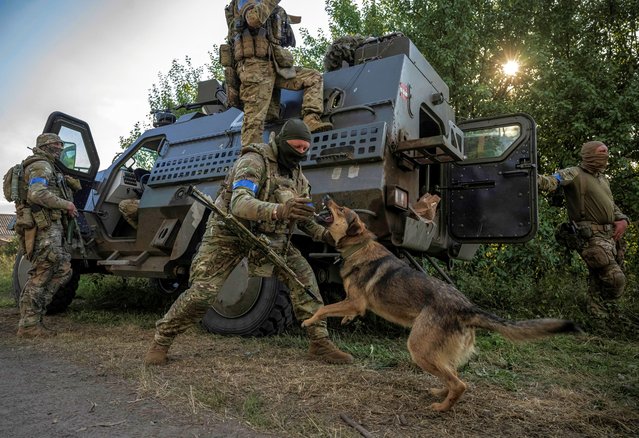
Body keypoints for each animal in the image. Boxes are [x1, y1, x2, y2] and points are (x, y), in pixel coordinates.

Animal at [302, 197, 584, 412]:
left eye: (340, 209)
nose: (326, 198)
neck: (357, 247)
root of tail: (468, 308)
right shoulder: (354, 304)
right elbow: (339, 311)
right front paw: (344, 320)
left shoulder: (355, 301)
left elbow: (323, 307)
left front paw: (309, 320)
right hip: (434, 353)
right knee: (452, 375)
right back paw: (440, 392)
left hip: (419, 348)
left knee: (460, 384)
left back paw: (441, 407)